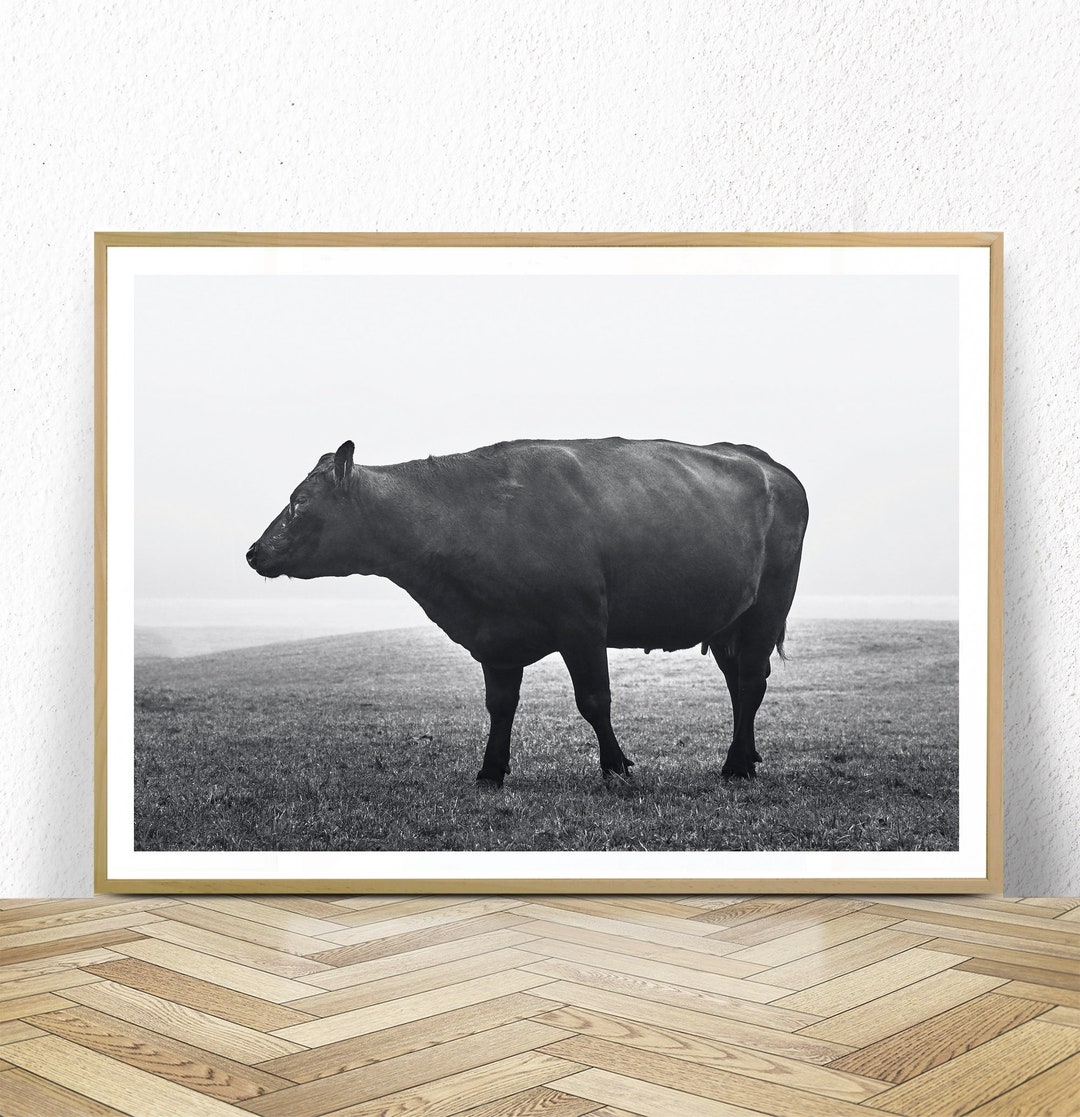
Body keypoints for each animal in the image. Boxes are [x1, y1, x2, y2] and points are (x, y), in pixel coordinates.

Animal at [246, 437, 808, 786]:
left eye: (299, 502)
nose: (253, 552)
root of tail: (768, 463)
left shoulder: (582, 621)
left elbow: (594, 700)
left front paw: (616, 767)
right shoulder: (496, 638)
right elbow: (500, 706)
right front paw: (490, 771)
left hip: (767, 607)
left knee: (751, 682)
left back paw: (737, 766)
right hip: (731, 620)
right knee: (738, 683)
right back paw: (745, 755)